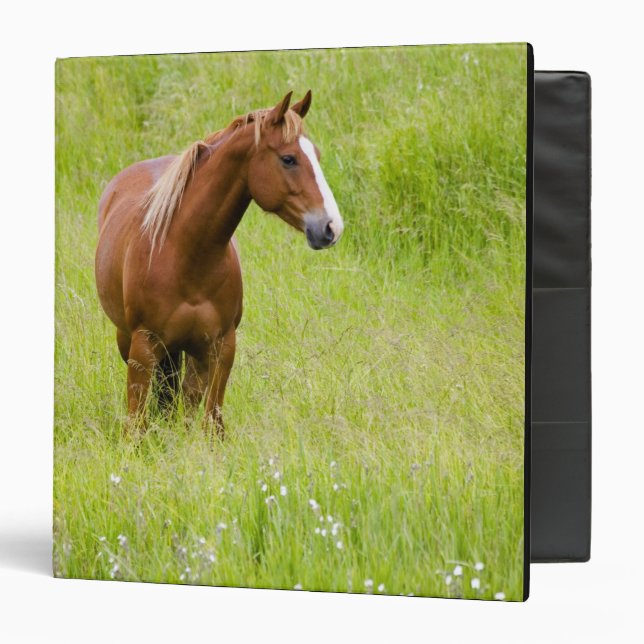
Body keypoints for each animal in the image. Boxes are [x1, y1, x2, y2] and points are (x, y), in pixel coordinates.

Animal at [95, 91, 344, 439]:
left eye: (317, 155)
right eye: (288, 159)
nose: (331, 227)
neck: (185, 254)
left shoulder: (221, 347)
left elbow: (210, 423)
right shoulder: (143, 348)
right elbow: (136, 424)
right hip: (129, 340)